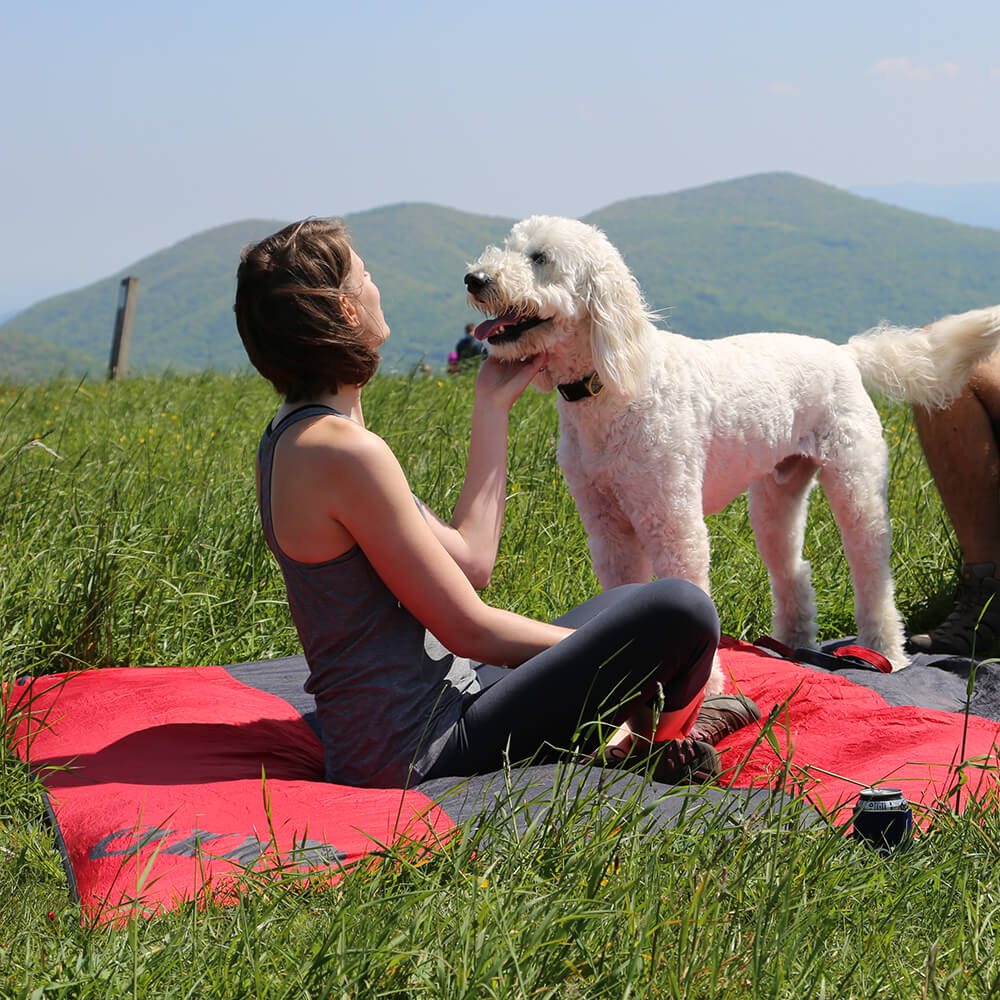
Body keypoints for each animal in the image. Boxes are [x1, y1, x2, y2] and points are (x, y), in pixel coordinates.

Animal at [464, 215, 1000, 692]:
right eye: (510, 246)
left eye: (540, 258)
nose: (475, 279)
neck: (612, 384)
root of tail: (843, 353)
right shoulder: (608, 526)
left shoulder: (672, 520)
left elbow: (689, 588)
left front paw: (707, 687)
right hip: (776, 496)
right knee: (793, 569)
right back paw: (791, 644)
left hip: (856, 482)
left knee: (872, 572)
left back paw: (885, 650)